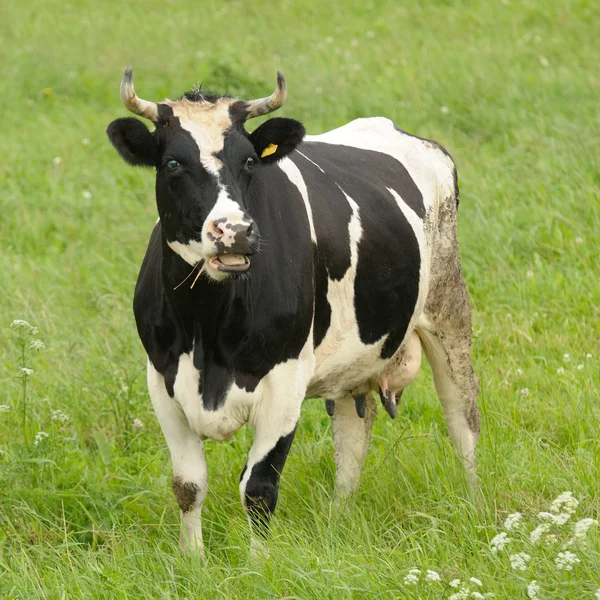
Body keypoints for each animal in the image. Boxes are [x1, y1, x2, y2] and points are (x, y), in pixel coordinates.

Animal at [108, 67, 480, 556]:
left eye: (249, 161)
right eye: (172, 163)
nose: (234, 231)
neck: (207, 327)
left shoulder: (285, 379)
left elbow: (258, 487)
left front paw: (258, 563)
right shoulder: (162, 378)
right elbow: (188, 485)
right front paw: (193, 560)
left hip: (448, 309)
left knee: (462, 418)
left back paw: (476, 504)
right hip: (355, 360)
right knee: (353, 436)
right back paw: (339, 521)